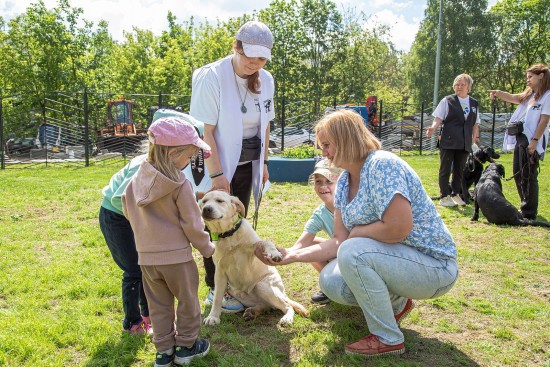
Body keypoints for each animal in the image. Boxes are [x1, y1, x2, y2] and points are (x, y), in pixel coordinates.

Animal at [199, 191, 310, 326]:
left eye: (220, 201)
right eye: (204, 201)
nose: (206, 209)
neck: (228, 235)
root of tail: (283, 293)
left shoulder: (255, 248)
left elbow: (266, 242)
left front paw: (274, 253)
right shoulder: (220, 273)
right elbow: (217, 297)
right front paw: (213, 316)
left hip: (262, 286)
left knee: (287, 305)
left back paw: (287, 318)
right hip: (237, 292)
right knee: (267, 306)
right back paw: (252, 312)